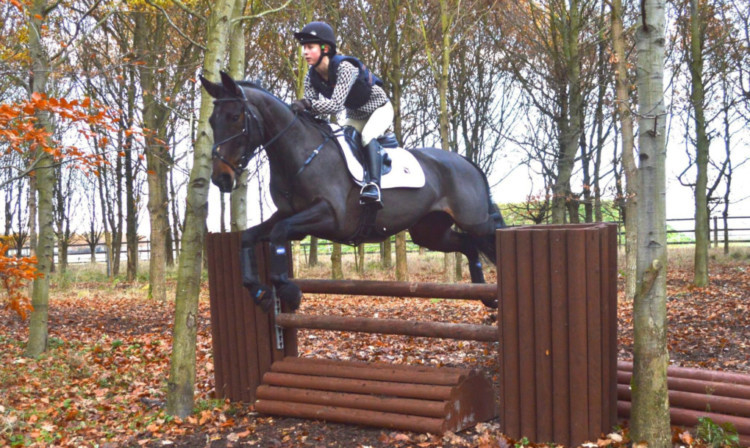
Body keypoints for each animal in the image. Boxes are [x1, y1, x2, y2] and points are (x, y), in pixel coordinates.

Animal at [200, 72, 508, 312]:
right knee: (468, 245)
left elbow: (278, 233)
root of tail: (466, 162)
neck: (300, 153)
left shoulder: (329, 217)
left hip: (474, 221)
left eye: (235, 116)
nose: (220, 178)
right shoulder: (289, 217)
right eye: (212, 122)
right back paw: (487, 298)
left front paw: (289, 291)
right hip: (429, 231)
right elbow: (250, 237)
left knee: (489, 239)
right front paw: (260, 292)